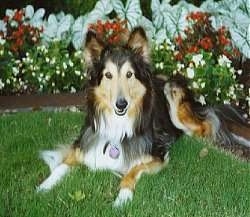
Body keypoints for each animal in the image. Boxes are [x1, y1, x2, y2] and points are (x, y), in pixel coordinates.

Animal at [37, 27, 180, 207]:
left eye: (129, 74)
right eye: (108, 75)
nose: (121, 104)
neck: (117, 122)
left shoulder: (157, 154)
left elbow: (133, 169)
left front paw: (123, 198)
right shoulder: (84, 141)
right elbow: (62, 164)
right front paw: (45, 185)